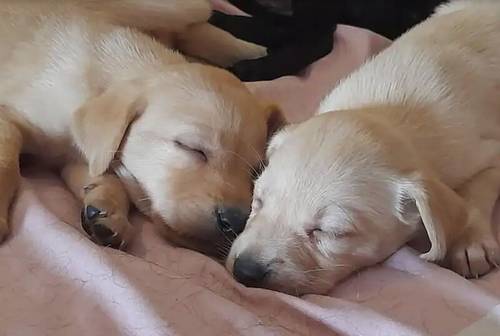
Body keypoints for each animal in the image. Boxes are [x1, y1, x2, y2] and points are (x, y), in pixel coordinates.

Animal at [0, 0, 282, 258]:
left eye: (254, 172)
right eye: (192, 148)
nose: (235, 223)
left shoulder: (80, 153)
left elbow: (102, 175)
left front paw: (107, 209)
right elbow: (8, 158)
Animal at [226, 0, 500, 294]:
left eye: (332, 232)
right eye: (258, 201)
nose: (245, 270)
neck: (389, 114)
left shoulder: (484, 149)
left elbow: (478, 190)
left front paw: (472, 242)